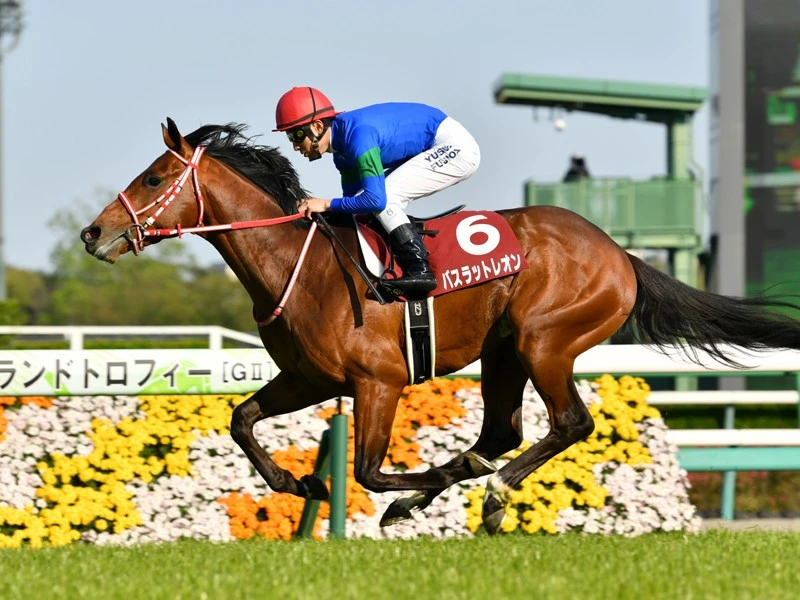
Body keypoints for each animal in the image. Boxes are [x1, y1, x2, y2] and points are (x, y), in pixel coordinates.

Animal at [80, 119, 800, 534]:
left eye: (155, 177)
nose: (93, 233)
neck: (297, 264)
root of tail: (619, 254)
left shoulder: (379, 380)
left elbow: (371, 471)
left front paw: (409, 489)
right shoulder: (310, 378)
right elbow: (241, 420)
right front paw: (302, 482)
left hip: (545, 341)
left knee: (568, 424)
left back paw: (489, 495)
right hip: (504, 352)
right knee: (502, 432)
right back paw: (464, 483)